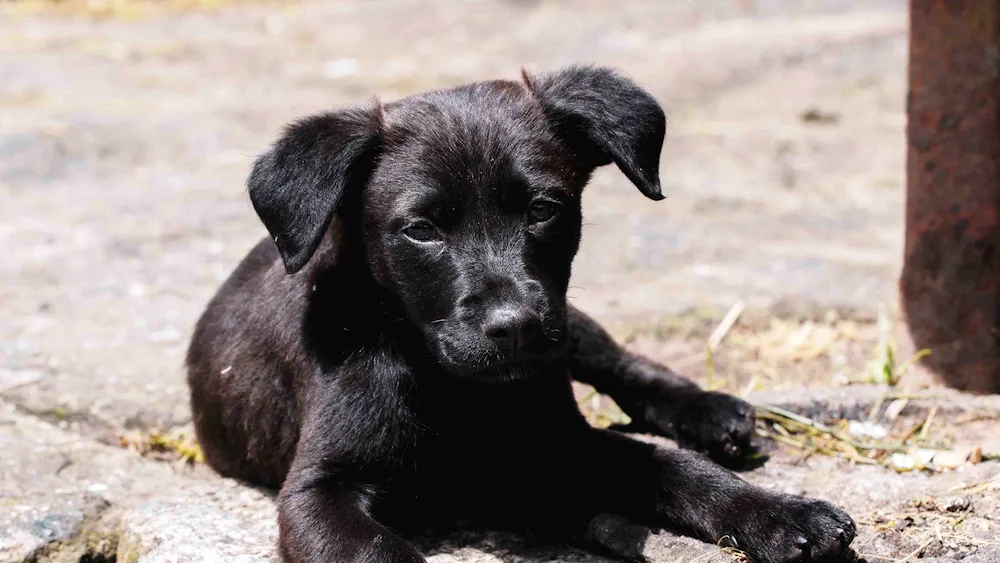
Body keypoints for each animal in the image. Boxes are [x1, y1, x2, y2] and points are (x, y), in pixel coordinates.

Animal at [184, 67, 856, 563]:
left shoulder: (558, 440)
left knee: (625, 366)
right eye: (421, 229)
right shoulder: (319, 491)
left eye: (542, 209)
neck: (450, 383)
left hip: (570, 327)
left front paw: (780, 513)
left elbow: (676, 467)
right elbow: (379, 550)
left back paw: (712, 414)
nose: (517, 328)